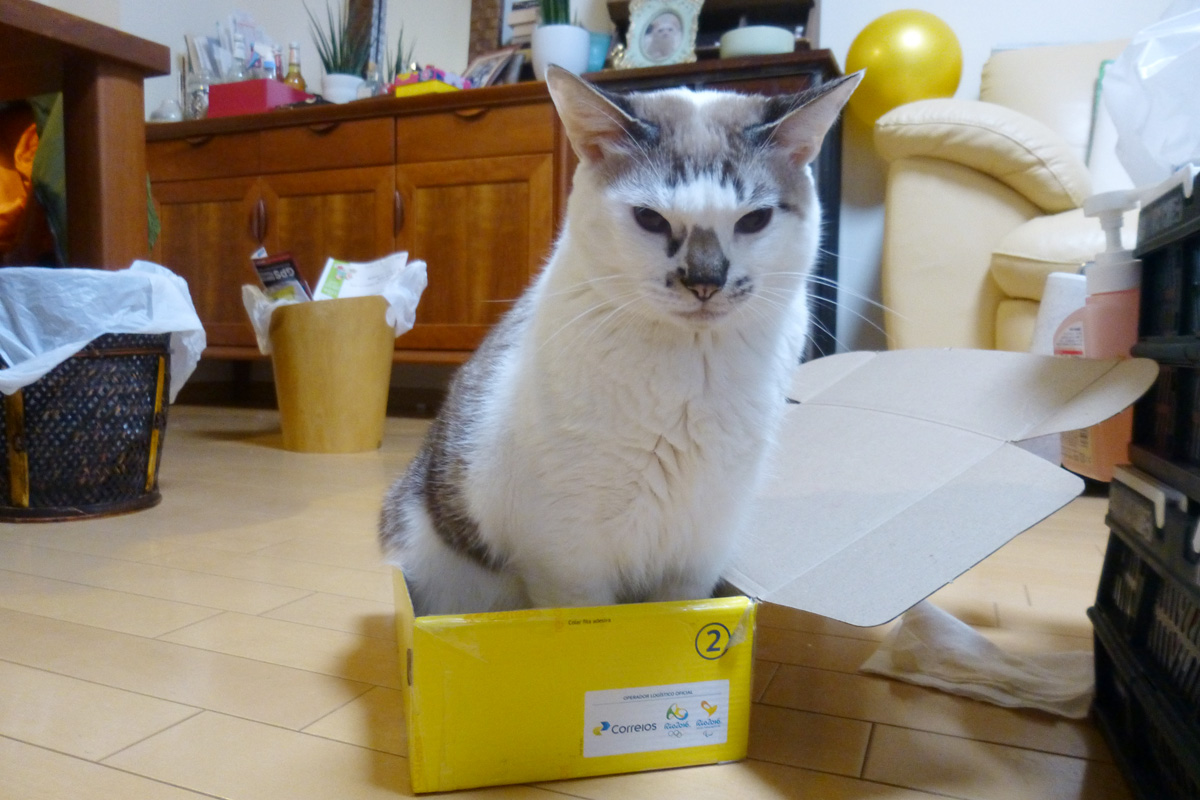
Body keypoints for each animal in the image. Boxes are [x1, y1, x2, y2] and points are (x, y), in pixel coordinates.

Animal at [380, 65, 861, 616]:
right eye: (650, 218)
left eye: (754, 220)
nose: (705, 280)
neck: (691, 371)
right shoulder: (570, 562)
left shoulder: (697, 554)